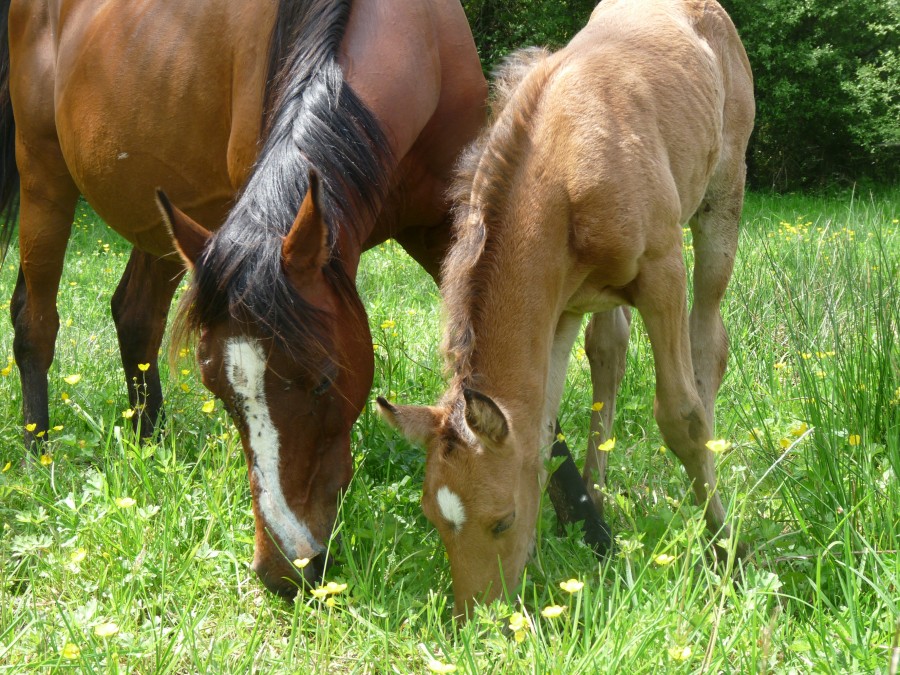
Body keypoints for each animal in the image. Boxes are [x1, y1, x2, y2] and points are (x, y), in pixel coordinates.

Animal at [1, 0, 486, 596]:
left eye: (324, 380)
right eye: (219, 391)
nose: (284, 571)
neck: (414, 40)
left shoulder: (448, 226)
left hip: (168, 227)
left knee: (135, 316)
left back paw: (151, 444)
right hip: (43, 177)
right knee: (35, 323)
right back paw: (37, 458)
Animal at [376, 0, 756, 616]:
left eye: (502, 521)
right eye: (434, 519)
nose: (477, 618)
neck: (561, 173)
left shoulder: (663, 274)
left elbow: (680, 416)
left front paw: (723, 546)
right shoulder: (557, 313)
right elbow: (545, 423)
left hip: (722, 203)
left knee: (708, 343)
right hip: (597, 300)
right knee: (609, 353)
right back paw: (599, 497)